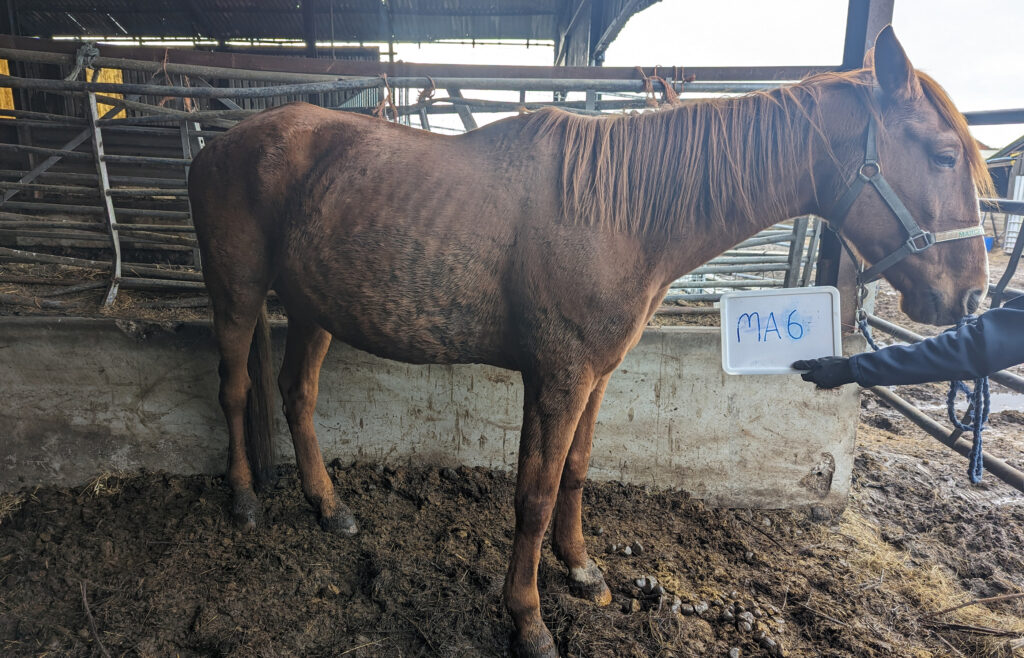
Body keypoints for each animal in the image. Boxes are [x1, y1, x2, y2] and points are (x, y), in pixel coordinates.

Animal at [188, 27, 992, 657]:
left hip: (312, 306)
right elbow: (535, 493)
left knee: (297, 395)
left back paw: (329, 507)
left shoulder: (597, 375)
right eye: (944, 154)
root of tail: (220, 147)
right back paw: (245, 499)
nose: (971, 297)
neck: (621, 213)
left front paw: (581, 572)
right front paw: (528, 622)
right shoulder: (558, 377)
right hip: (236, 292)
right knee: (234, 387)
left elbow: (574, 473)